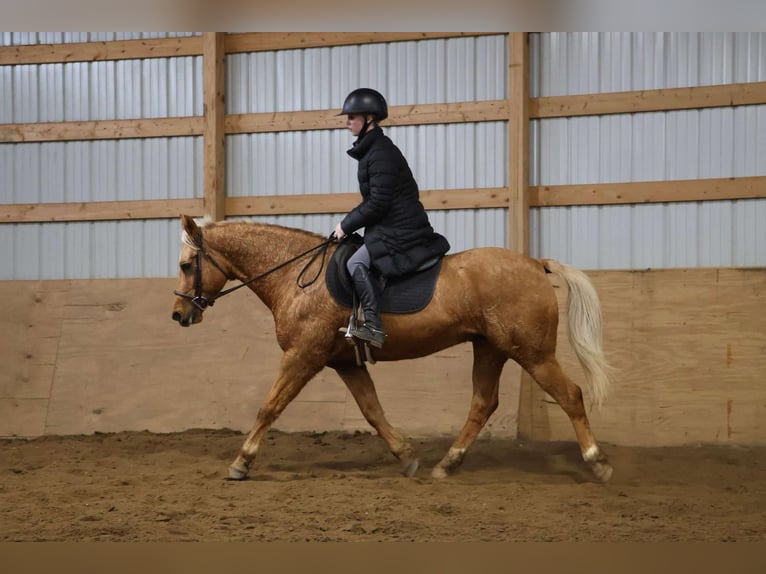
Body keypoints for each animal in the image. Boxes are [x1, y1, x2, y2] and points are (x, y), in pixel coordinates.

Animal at [171, 214, 615, 482]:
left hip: (533, 354)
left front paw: (241, 462)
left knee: (570, 395)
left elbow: (269, 406)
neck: (296, 277)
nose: (178, 314)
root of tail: (536, 264)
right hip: (490, 349)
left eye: (185, 265)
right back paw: (447, 463)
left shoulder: (302, 356)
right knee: (482, 404)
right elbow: (372, 410)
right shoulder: (345, 363)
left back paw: (597, 462)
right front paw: (406, 456)